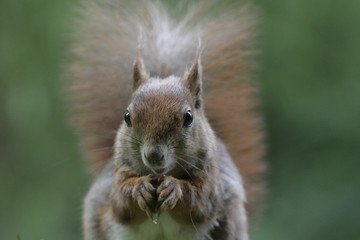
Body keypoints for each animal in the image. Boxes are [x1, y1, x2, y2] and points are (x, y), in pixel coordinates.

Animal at [67, 0, 264, 240]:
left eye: (188, 117)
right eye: (127, 117)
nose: (153, 155)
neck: (159, 175)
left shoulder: (211, 178)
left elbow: (200, 204)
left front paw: (174, 188)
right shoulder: (118, 173)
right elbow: (120, 203)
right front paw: (139, 188)